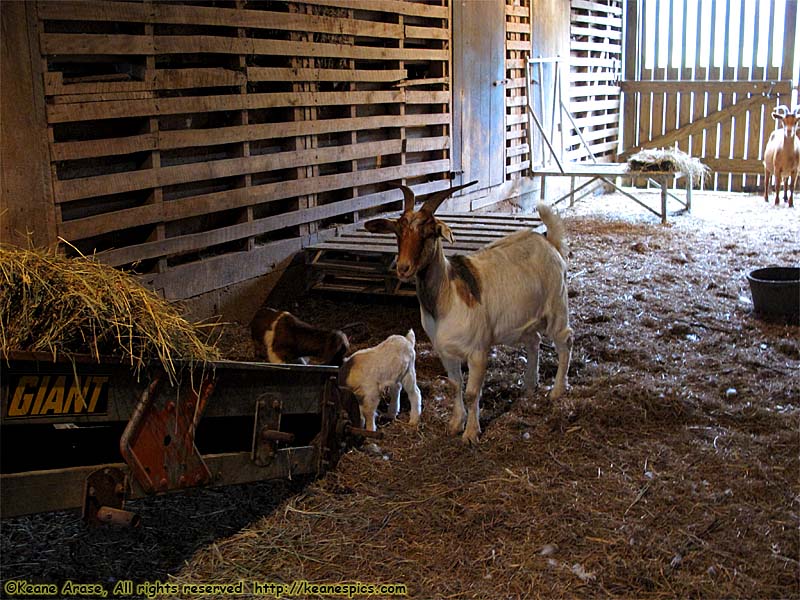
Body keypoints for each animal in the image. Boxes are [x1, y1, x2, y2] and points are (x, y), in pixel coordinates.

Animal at [366, 183, 572, 446]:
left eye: (429, 232)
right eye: (397, 232)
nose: (403, 268)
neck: (447, 298)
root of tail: (549, 243)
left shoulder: (478, 352)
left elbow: (473, 392)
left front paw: (471, 433)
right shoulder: (445, 353)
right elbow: (455, 386)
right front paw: (455, 424)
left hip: (557, 307)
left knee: (564, 340)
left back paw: (557, 391)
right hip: (521, 321)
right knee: (534, 341)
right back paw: (528, 386)